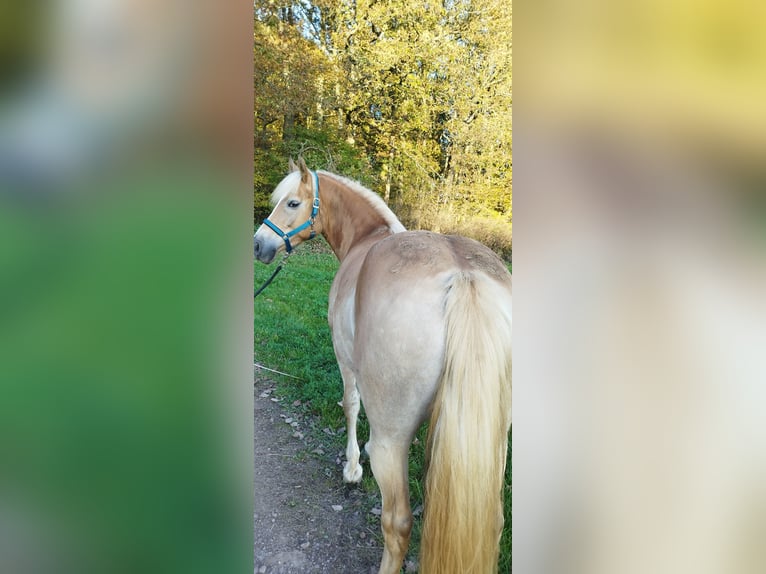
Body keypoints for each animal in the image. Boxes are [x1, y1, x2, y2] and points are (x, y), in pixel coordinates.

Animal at [255, 158, 512, 574]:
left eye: (292, 203)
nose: (258, 244)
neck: (366, 238)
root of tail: (462, 278)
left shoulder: (345, 358)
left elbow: (349, 405)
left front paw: (351, 469)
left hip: (389, 443)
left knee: (398, 522)